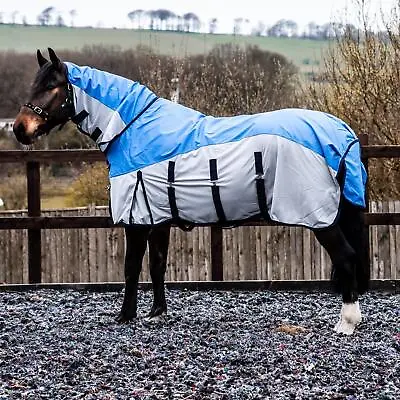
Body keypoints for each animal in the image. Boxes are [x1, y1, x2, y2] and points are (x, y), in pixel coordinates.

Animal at [11, 47, 368, 334]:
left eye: (52, 86)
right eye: (34, 84)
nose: (19, 129)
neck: (133, 129)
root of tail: (340, 130)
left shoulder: (136, 219)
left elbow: (131, 267)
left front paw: (125, 316)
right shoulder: (157, 218)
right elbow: (157, 263)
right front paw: (157, 313)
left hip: (320, 216)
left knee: (346, 257)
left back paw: (346, 323)